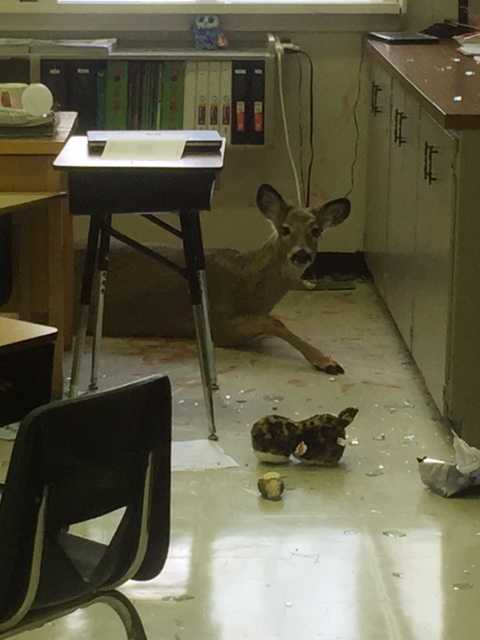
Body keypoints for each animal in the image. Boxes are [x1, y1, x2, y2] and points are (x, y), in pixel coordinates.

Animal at [79, 184, 351, 375]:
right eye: (285, 229)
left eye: (316, 231)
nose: (301, 254)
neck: (248, 282)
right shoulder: (220, 322)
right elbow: (274, 322)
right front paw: (327, 361)